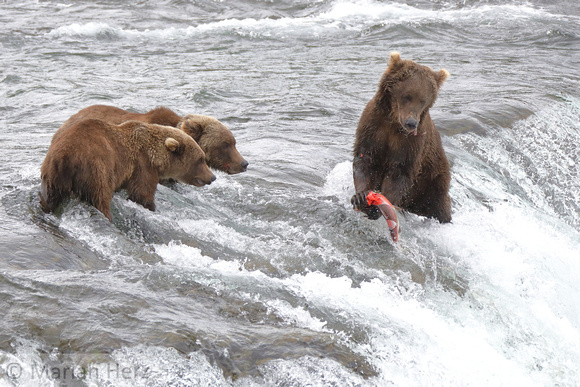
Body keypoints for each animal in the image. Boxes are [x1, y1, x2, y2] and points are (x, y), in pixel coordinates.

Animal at [40, 118, 216, 221]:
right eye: (200, 159)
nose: (212, 177)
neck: (155, 156)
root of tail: (64, 156)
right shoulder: (142, 165)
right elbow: (141, 193)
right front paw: (151, 207)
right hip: (95, 169)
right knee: (101, 197)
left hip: (51, 175)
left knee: (49, 197)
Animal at [348, 50, 454, 224]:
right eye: (407, 96)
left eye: (423, 100)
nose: (411, 123)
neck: (393, 121)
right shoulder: (372, 127)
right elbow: (365, 159)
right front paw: (361, 196)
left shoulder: (411, 142)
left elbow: (400, 172)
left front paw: (379, 206)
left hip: (433, 181)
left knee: (439, 207)